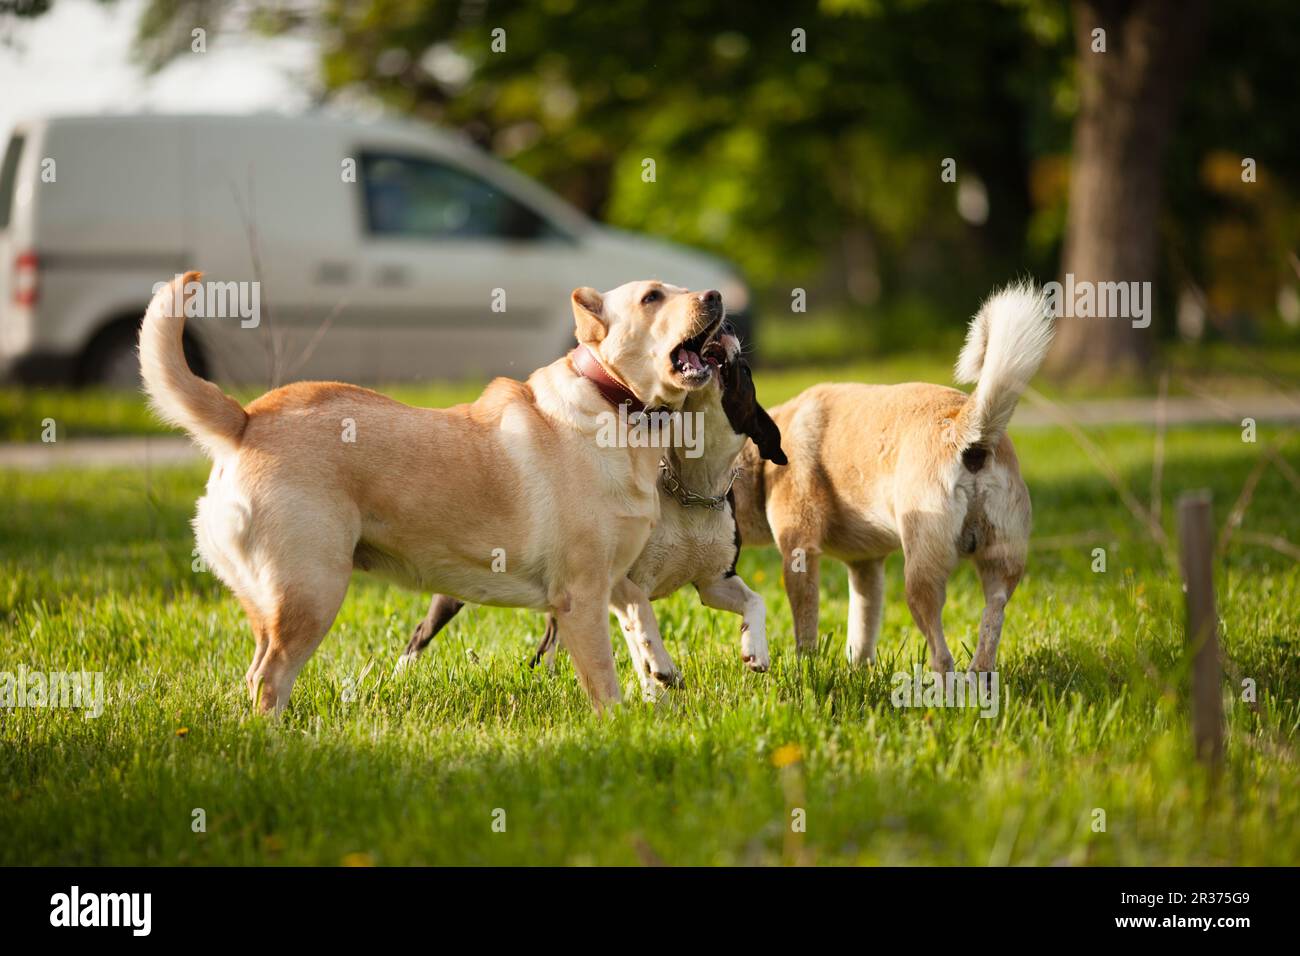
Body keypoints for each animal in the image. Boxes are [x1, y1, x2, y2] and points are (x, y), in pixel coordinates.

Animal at [143, 273, 733, 712]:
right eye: (653, 296)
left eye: (682, 288)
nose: (715, 295)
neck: (615, 404)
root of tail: (244, 421)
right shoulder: (580, 593)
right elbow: (604, 678)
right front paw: (617, 724)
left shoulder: (607, 578)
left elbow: (638, 612)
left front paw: (659, 666)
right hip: (312, 591)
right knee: (269, 678)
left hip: (270, 600)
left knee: (255, 671)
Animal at [395, 321, 785, 702]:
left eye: (745, 371)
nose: (728, 327)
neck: (692, 485)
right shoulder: (623, 581)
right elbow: (640, 625)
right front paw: (656, 683)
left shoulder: (714, 581)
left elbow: (756, 600)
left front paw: (756, 650)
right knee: (423, 631)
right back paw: (402, 673)